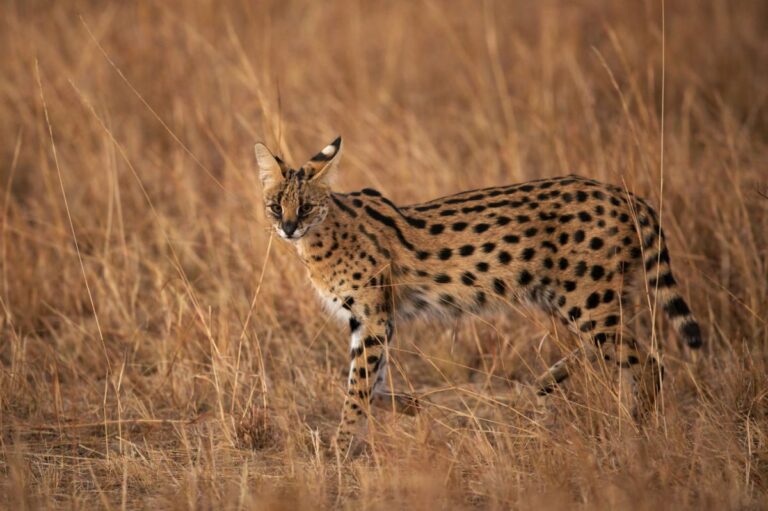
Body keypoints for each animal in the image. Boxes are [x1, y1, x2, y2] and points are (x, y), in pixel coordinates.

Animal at [252, 135, 704, 456]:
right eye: (275, 206)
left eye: (305, 207)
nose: (288, 228)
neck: (320, 236)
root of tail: (624, 194)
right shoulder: (375, 320)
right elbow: (371, 384)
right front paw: (409, 406)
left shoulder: (372, 317)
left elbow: (357, 388)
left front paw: (342, 445)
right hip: (577, 297)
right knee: (618, 349)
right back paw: (552, 380)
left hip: (586, 299)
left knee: (649, 358)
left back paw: (638, 427)